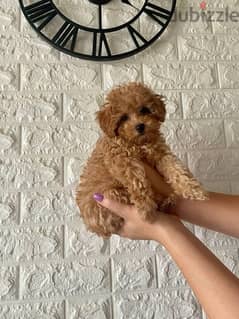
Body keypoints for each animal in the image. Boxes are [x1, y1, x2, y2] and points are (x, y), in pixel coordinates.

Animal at [75, 82, 208, 238]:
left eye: (144, 110)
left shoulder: (160, 154)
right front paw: (146, 209)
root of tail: (97, 229)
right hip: (109, 196)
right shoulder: (122, 160)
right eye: (123, 118)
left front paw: (194, 189)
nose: (140, 126)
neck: (138, 143)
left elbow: (176, 168)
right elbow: (137, 180)